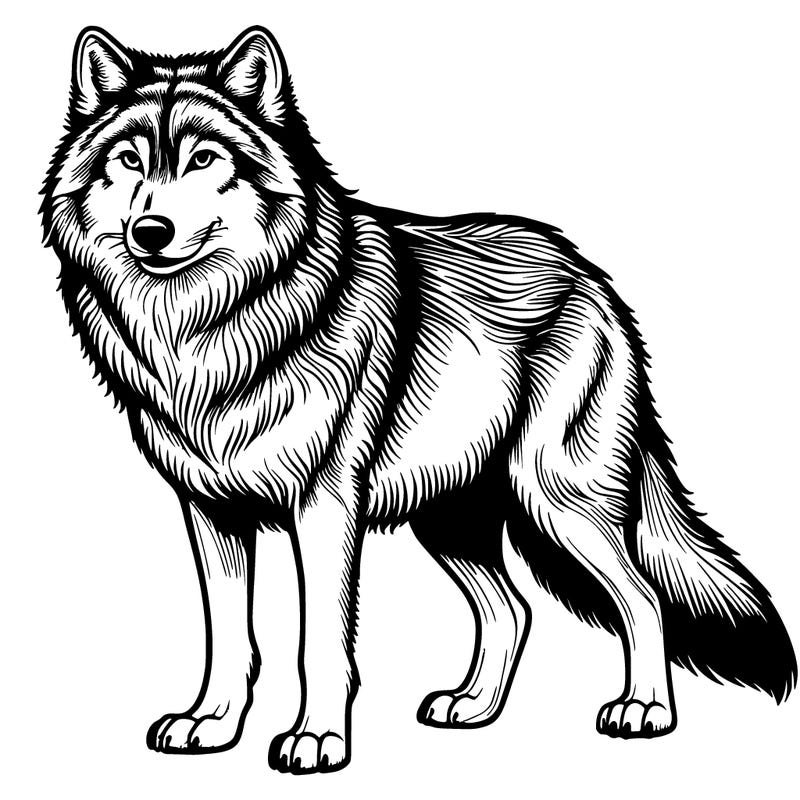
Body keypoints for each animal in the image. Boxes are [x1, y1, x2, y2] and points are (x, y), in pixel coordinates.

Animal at [41, 26, 795, 774]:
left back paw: (644, 711)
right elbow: (229, 638)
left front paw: (318, 740)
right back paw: (474, 706)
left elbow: (319, 642)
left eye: (204, 159)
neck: (204, 327)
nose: (151, 232)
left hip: (558, 502)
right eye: (129, 161)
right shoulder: (209, 510)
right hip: (449, 517)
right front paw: (211, 723)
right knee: (513, 610)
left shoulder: (324, 508)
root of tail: (589, 273)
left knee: (642, 601)